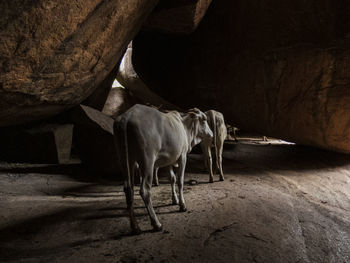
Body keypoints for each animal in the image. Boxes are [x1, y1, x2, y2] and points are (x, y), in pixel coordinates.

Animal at [114, 104, 213, 234]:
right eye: (204, 119)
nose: (211, 134)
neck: (186, 128)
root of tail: (127, 117)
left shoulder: (168, 159)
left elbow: (172, 179)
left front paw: (174, 200)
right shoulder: (182, 156)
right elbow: (180, 181)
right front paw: (182, 204)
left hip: (125, 160)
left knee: (128, 189)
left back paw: (135, 226)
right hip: (147, 161)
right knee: (144, 190)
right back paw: (156, 223)